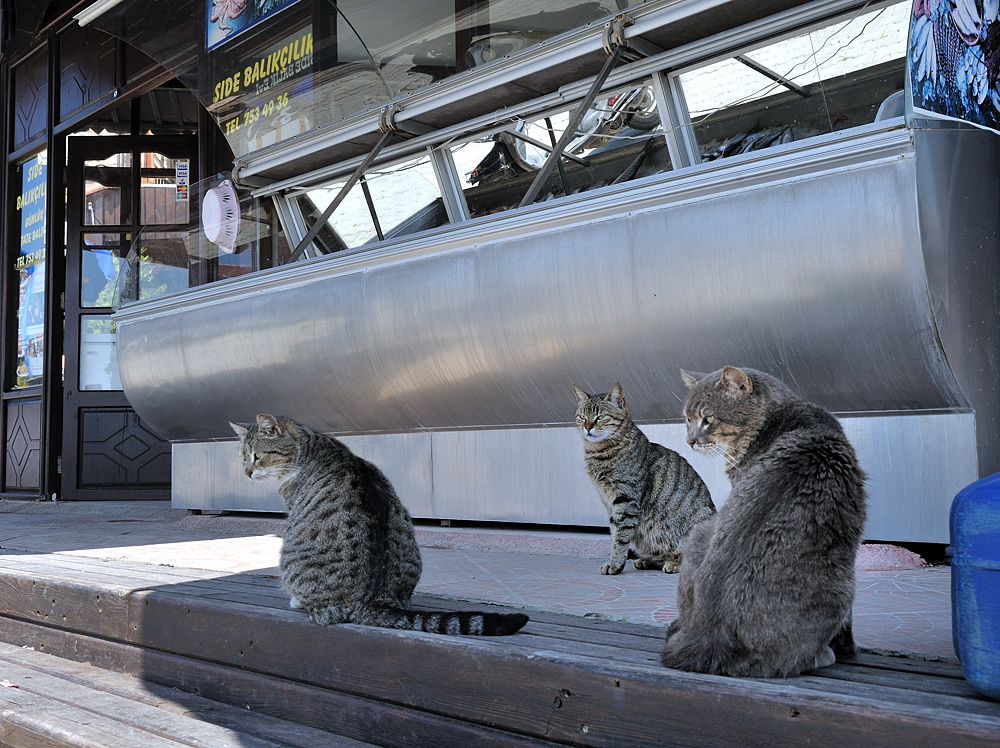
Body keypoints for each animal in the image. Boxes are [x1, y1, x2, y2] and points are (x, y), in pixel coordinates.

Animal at [572, 382, 720, 576]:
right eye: (582, 417)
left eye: (600, 417)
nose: (587, 427)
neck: (598, 452)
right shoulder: (608, 501)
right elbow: (614, 532)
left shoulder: (626, 500)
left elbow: (620, 537)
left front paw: (615, 563)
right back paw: (647, 561)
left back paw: (675, 564)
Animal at [656, 368, 868, 676]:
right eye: (687, 419)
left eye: (708, 419)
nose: (690, 440)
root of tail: (707, 635)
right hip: (842, 585)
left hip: (699, 534)